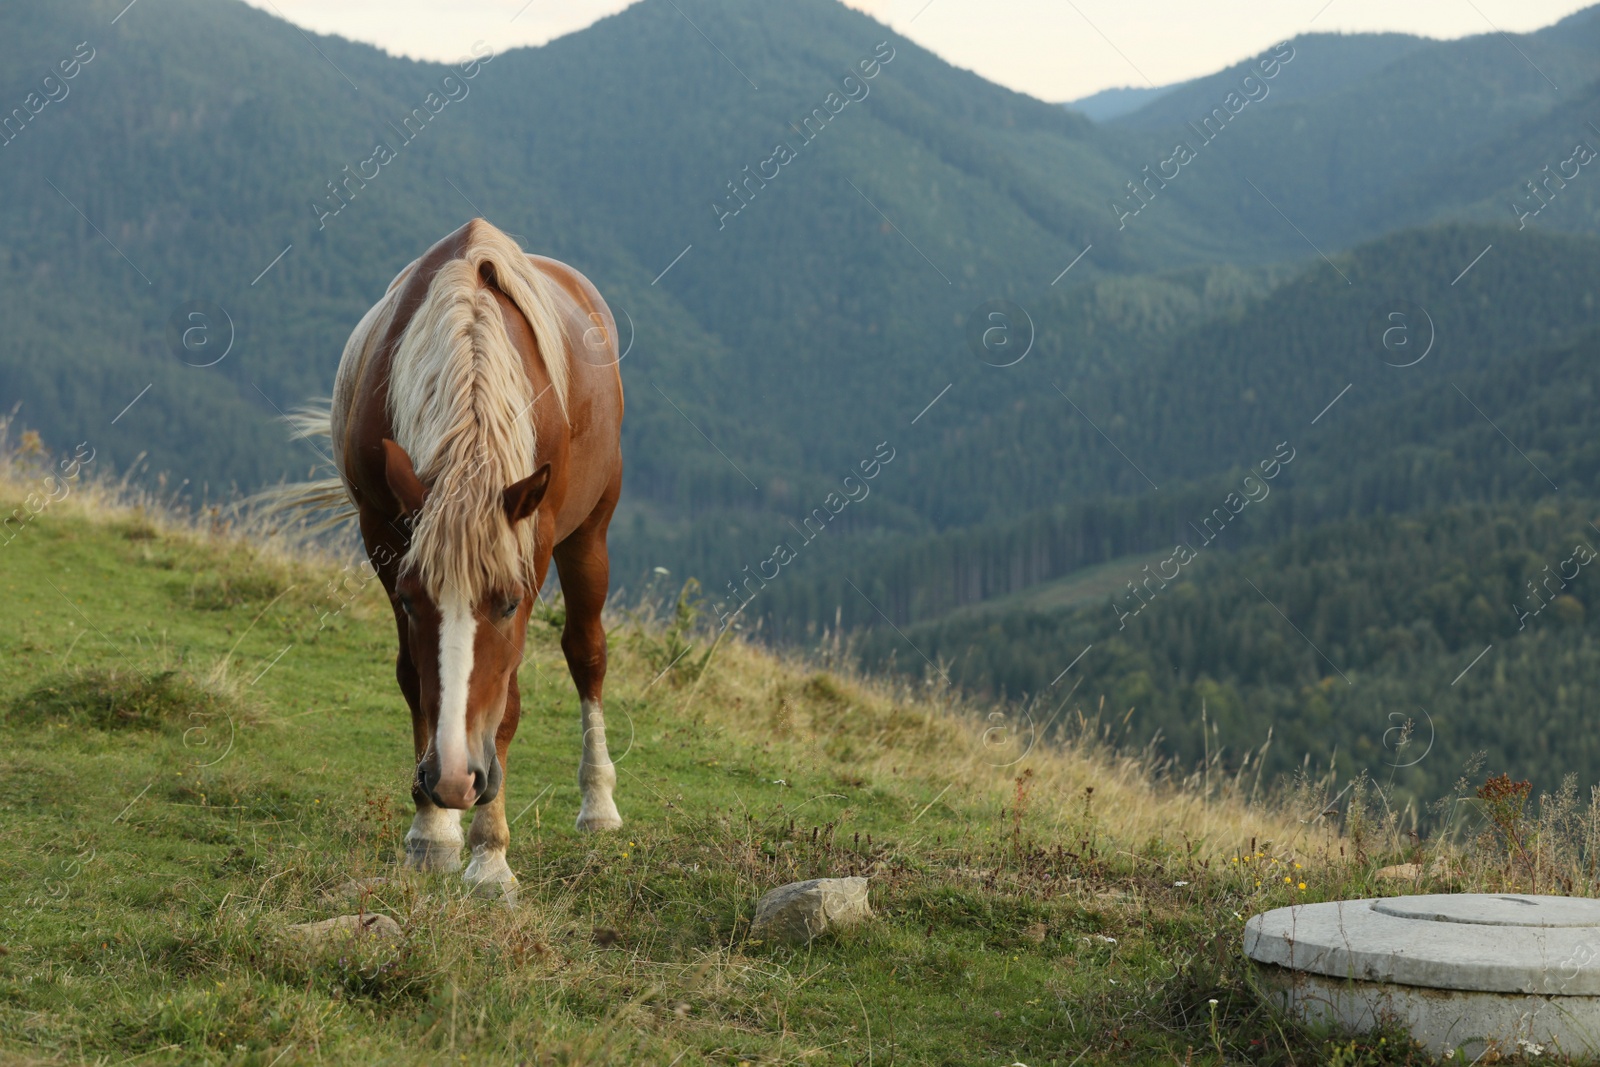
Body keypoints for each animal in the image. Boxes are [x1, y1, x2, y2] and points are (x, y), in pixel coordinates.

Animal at [268, 220, 624, 895]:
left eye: (508, 604)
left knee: (586, 653)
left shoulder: (533, 545)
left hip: (591, 532)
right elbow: (415, 680)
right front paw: (432, 833)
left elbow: (507, 705)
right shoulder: (384, 536)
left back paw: (598, 804)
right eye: (412, 601)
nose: (457, 779)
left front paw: (490, 858)